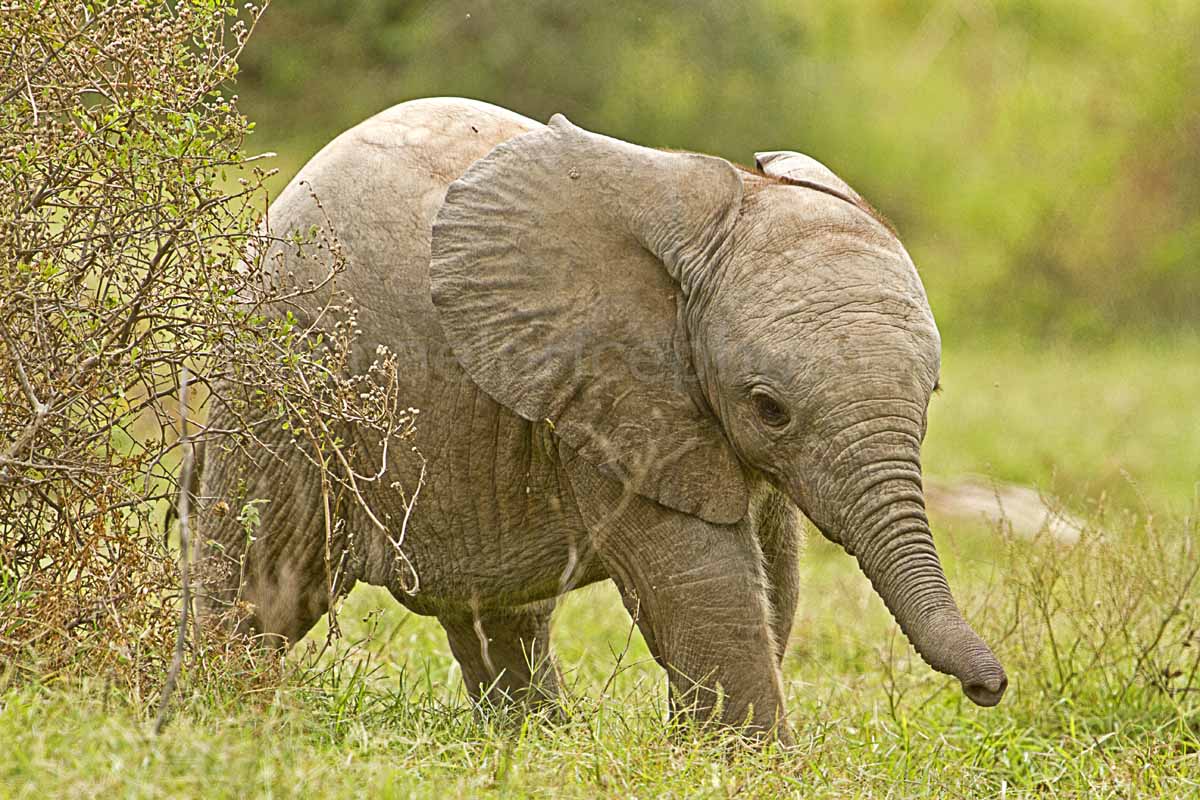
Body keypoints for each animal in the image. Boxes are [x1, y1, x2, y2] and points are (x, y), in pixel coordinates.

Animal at [196, 97, 1006, 743]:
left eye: (932, 393)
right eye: (769, 408)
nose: (989, 688)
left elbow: (776, 571)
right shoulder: (614, 400)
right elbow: (701, 582)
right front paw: (754, 765)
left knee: (499, 618)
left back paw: (535, 741)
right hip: (282, 391)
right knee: (265, 580)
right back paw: (222, 709)